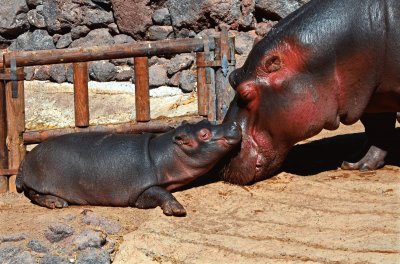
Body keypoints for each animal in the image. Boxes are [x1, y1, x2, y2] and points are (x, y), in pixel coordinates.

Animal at [16, 119, 241, 217]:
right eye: (204, 134)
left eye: (206, 120)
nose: (233, 124)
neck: (161, 152)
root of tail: (26, 159)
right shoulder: (141, 189)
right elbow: (160, 192)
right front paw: (177, 209)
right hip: (39, 179)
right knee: (33, 194)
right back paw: (56, 202)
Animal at [220, 0, 398, 185]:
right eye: (232, 77)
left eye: (246, 94)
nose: (221, 162)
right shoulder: (372, 99)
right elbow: (378, 129)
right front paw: (357, 164)